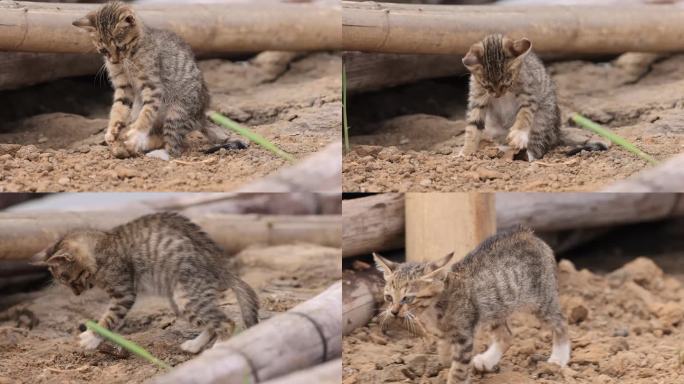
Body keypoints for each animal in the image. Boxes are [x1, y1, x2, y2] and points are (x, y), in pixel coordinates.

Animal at [31, 212, 260, 352]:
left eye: (66, 279)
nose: (76, 294)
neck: (101, 247)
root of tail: (223, 267)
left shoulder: (124, 293)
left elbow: (109, 318)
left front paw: (91, 338)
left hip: (187, 296)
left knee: (227, 323)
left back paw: (219, 349)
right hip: (181, 301)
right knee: (212, 324)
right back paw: (195, 346)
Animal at [73, 0, 244, 158]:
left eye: (121, 47)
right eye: (104, 50)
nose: (114, 61)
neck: (131, 56)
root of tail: (201, 116)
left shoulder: (153, 85)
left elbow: (147, 111)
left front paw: (137, 131)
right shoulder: (123, 87)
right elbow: (118, 108)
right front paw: (112, 129)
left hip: (176, 113)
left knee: (174, 147)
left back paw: (154, 150)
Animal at [372, 225, 568, 384]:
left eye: (407, 298)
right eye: (388, 297)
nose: (394, 312)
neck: (434, 308)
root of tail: (529, 234)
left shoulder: (464, 336)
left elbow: (458, 370)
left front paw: (454, 377)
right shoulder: (445, 333)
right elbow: (445, 354)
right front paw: (446, 360)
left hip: (541, 301)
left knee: (561, 323)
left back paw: (559, 358)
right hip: (495, 307)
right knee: (506, 334)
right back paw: (487, 361)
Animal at [460, 34, 560, 162]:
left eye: (507, 84)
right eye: (487, 86)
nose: (498, 95)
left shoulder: (529, 92)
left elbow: (525, 113)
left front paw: (519, 134)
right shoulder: (477, 97)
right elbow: (473, 125)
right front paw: (466, 152)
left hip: (543, 119)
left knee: (538, 145)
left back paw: (525, 154)